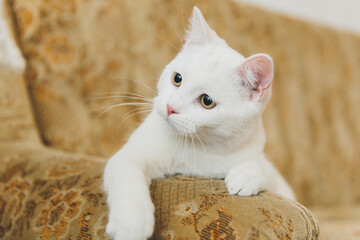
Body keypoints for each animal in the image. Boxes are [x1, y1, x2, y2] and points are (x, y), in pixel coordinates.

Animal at [102, 7, 294, 240]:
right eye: (177, 78)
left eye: (206, 101)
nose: (170, 107)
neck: (191, 146)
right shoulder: (131, 155)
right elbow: (127, 175)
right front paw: (131, 221)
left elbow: (263, 167)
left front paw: (247, 175)